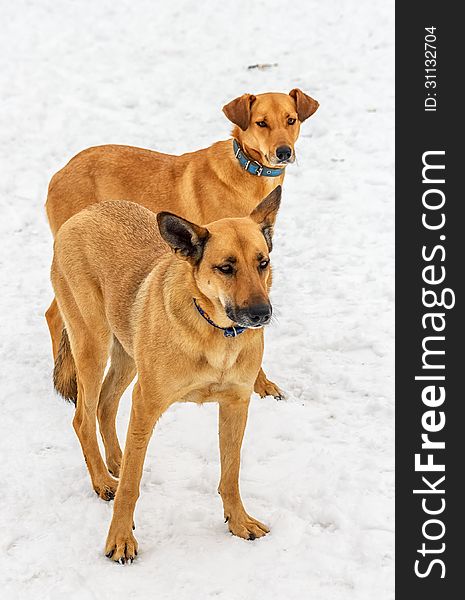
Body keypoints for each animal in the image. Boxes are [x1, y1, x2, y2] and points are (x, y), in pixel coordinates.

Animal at [45, 88, 318, 404]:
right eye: (261, 123)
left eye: (291, 120)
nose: (283, 152)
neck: (247, 172)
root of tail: (58, 174)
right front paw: (259, 383)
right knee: (57, 318)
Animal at [52, 188, 280, 564]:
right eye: (226, 268)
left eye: (262, 263)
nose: (262, 314)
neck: (215, 331)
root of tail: (84, 213)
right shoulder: (147, 402)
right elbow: (131, 487)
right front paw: (120, 540)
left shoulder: (236, 404)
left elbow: (231, 472)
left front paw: (238, 522)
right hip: (92, 346)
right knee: (82, 418)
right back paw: (102, 480)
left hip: (127, 354)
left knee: (105, 406)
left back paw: (117, 460)